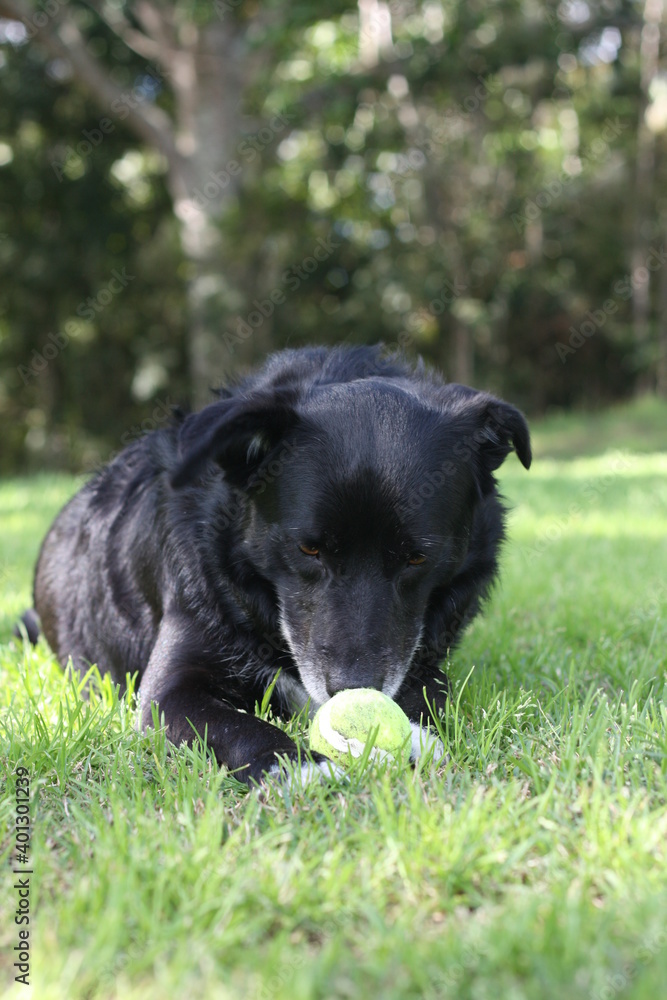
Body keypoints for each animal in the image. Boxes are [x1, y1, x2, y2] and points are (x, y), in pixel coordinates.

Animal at [23, 348, 528, 784]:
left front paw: (415, 735)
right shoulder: (166, 692)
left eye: (417, 556)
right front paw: (302, 767)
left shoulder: (422, 656)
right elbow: (236, 726)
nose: (353, 690)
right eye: (308, 549)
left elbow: (432, 690)